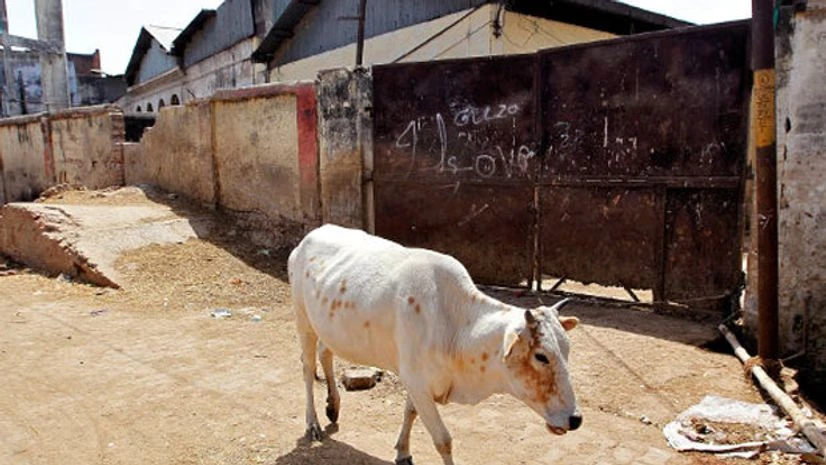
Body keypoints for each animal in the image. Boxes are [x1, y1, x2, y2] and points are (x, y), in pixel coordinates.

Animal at [288, 224, 581, 465]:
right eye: (541, 356)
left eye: (567, 350)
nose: (575, 419)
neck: (455, 326)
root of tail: (307, 239)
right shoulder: (416, 381)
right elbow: (443, 440)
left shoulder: (417, 382)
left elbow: (410, 413)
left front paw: (402, 452)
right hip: (303, 321)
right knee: (307, 368)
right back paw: (313, 423)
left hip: (327, 327)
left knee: (325, 354)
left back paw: (333, 406)